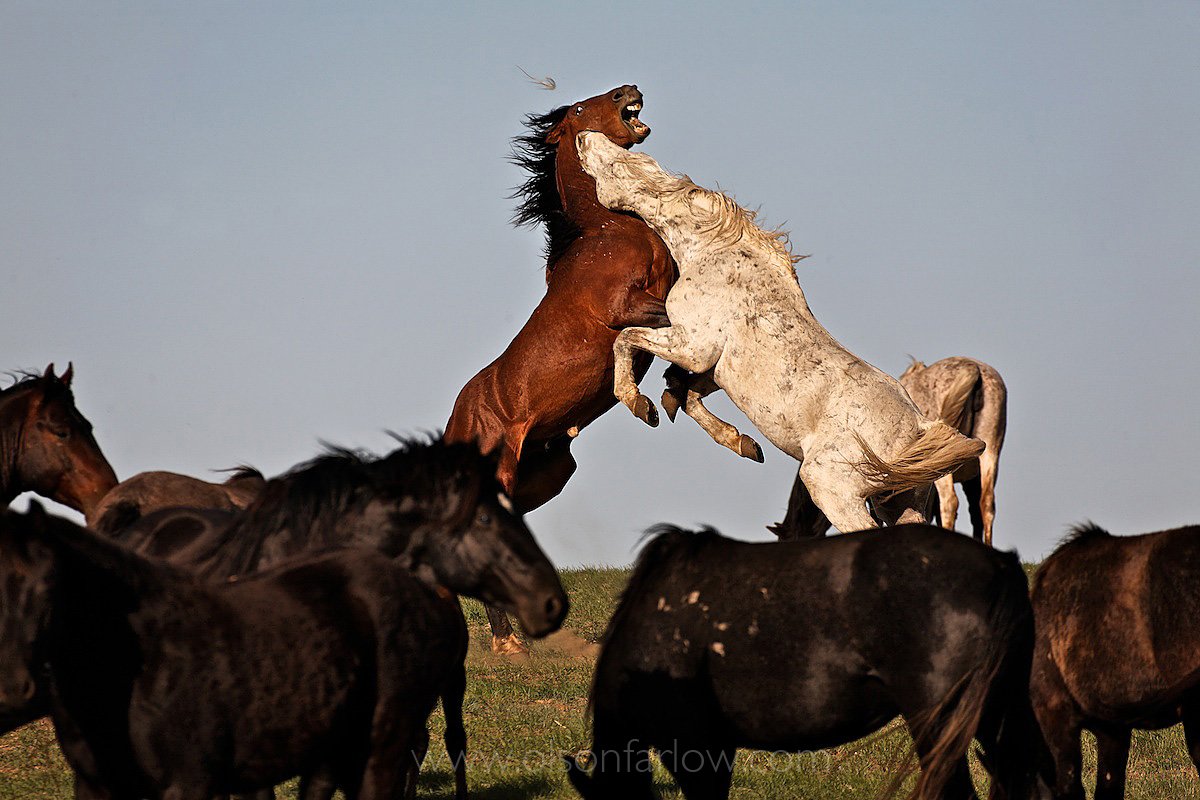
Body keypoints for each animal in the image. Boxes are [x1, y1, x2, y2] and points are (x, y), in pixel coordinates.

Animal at [445, 84, 676, 653]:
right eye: (578, 109)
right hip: (501, 472)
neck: (605, 230)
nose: (629, 90)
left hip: (546, 473)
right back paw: (509, 645)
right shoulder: (626, 306)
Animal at [575, 132, 984, 533]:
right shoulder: (716, 370)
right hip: (900, 503)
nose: (584, 137)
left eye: (619, 164)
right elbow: (688, 395)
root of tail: (917, 429)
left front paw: (637, 403)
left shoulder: (692, 346)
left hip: (832, 489)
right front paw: (742, 443)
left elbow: (626, 340)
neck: (714, 253)